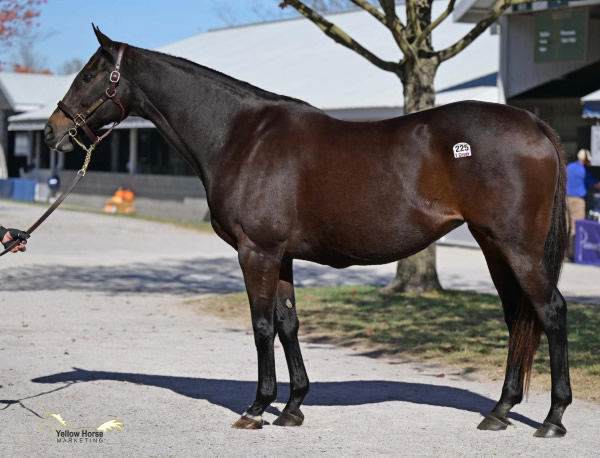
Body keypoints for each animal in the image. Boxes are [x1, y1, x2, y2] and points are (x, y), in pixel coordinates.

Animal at [44, 27, 568, 436]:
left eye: (89, 74)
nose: (51, 131)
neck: (242, 136)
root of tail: (534, 123)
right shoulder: (282, 255)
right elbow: (288, 323)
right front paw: (293, 406)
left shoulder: (256, 252)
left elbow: (261, 325)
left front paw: (257, 408)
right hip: (494, 247)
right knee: (519, 317)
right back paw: (500, 411)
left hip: (518, 249)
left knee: (551, 311)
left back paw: (552, 418)